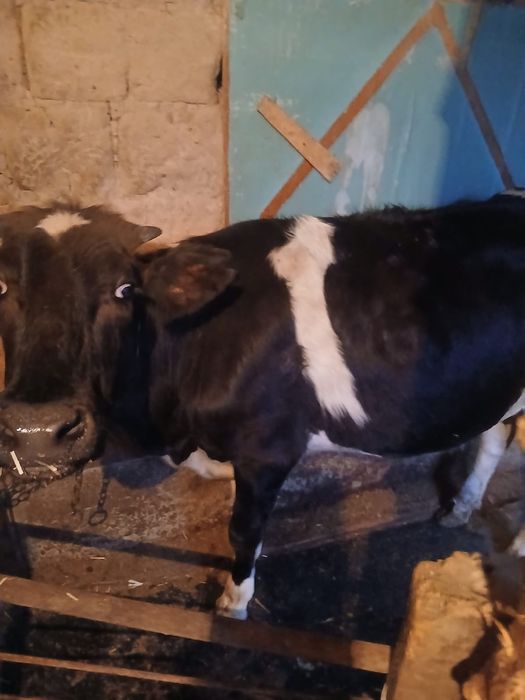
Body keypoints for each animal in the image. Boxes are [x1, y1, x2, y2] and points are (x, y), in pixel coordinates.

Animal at [1, 193, 525, 619]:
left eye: (123, 290)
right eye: (1, 287)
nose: (38, 429)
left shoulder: (268, 449)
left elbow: (243, 530)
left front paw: (232, 604)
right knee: (494, 437)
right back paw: (461, 508)